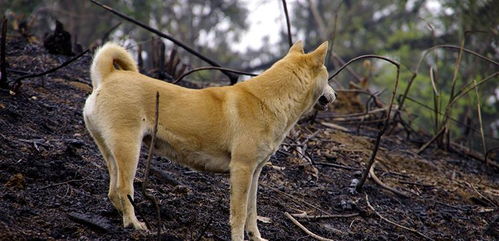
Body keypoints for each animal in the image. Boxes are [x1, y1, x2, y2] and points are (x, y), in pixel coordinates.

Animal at [84, 40, 338, 240]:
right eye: (327, 76)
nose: (335, 95)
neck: (267, 100)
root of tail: (107, 77)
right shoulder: (242, 169)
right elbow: (239, 214)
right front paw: (238, 238)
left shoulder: (255, 172)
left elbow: (252, 212)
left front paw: (256, 237)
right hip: (129, 150)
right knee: (123, 189)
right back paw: (134, 224)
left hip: (112, 153)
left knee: (112, 191)